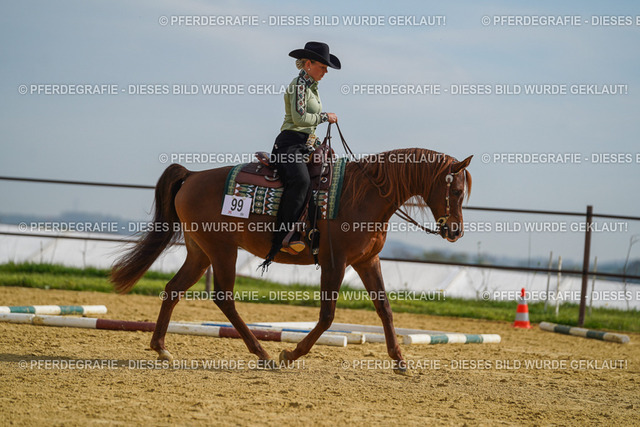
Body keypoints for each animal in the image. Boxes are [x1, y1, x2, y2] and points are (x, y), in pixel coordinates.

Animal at [110, 146, 472, 374]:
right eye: (455, 191)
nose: (455, 231)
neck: (364, 195)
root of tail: (193, 174)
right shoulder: (335, 262)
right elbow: (327, 316)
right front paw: (291, 354)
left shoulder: (368, 261)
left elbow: (384, 308)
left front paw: (399, 361)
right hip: (221, 250)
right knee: (224, 297)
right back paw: (264, 354)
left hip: (200, 252)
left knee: (174, 289)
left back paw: (161, 347)